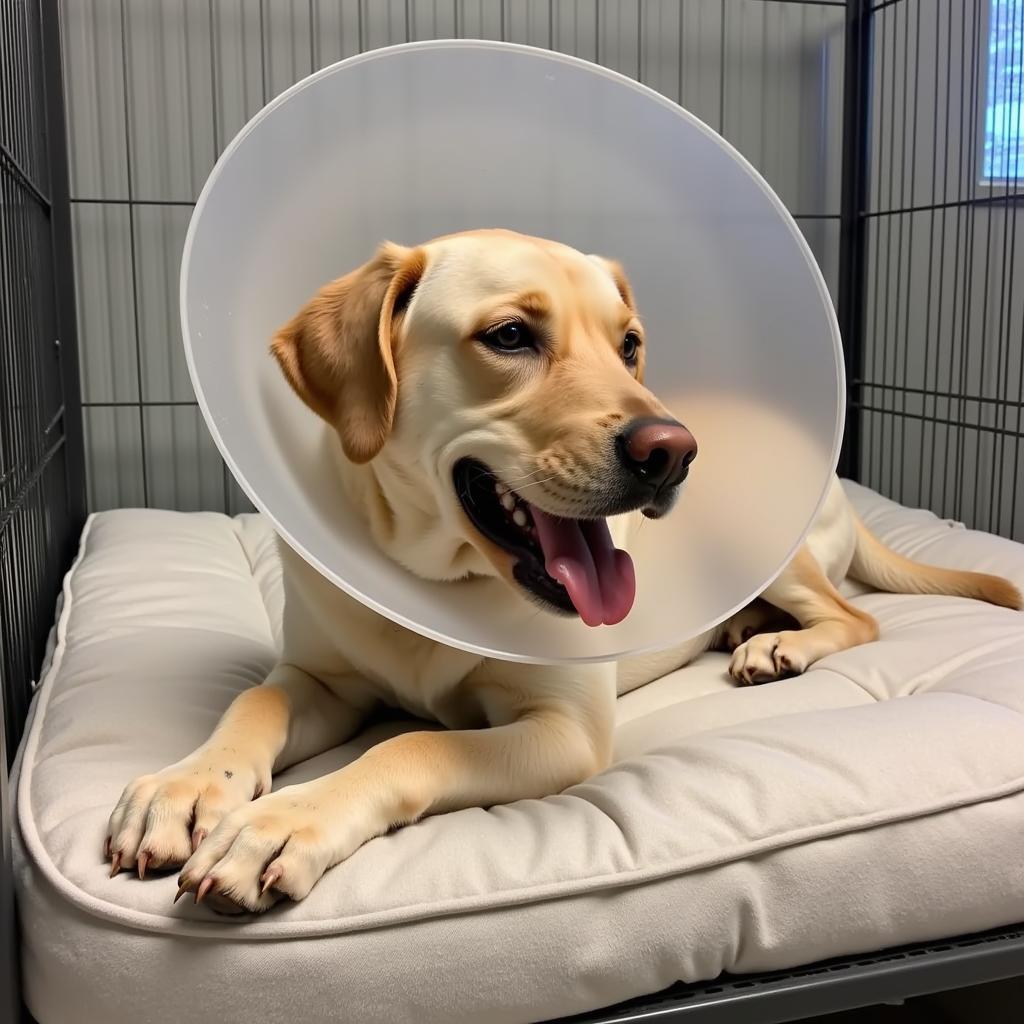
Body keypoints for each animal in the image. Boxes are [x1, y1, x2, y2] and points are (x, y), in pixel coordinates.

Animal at [108, 230, 1019, 913]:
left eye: (630, 345)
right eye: (511, 335)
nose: (672, 451)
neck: (436, 581)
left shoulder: (562, 730)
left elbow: (412, 745)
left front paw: (285, 821)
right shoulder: (320, 679)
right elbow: (252, 702)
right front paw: (186, 789)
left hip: (774, 553)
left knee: (856, 617)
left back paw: (778, 645)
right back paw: (750, 631)